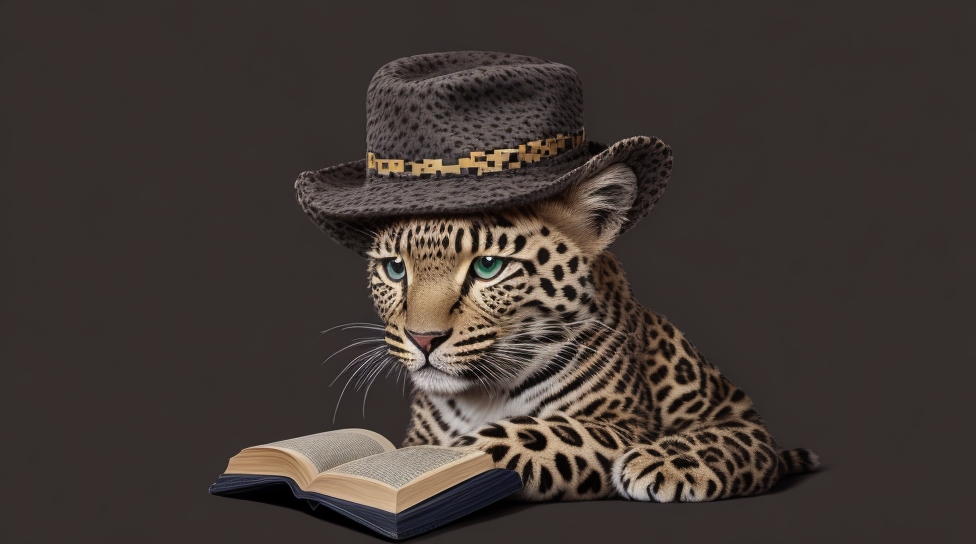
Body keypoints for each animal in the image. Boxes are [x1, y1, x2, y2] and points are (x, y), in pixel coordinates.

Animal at [361, 163, 819, 502]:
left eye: (489, 266)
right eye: (395, 269)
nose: (423, 339)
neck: (481, 395)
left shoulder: (716, 425)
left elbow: (536, 432)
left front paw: (447, 460)